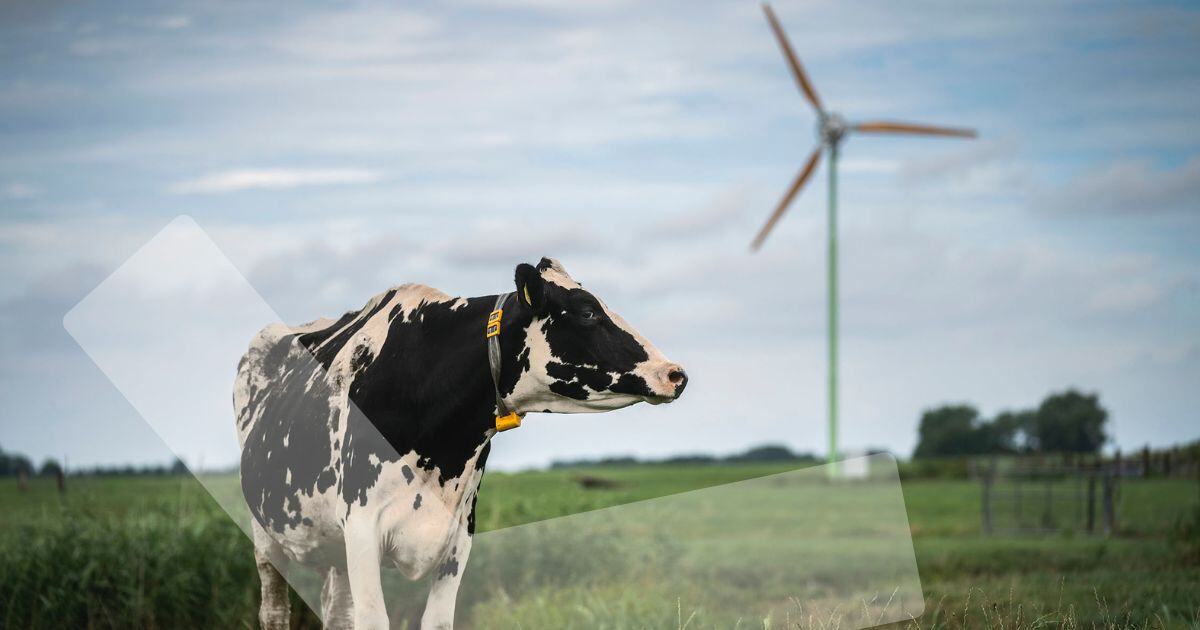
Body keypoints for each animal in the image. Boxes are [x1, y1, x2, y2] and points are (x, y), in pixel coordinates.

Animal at [234, 258, 686, 624]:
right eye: (588, 311)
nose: (675, 373)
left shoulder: (459, 535)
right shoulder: (362, 526)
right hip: (265, 536)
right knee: (274, 609)